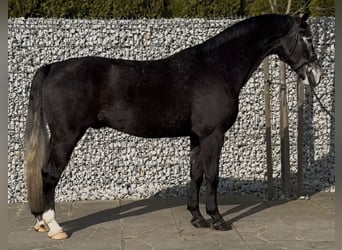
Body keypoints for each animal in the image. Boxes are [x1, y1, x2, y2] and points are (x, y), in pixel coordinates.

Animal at [26, 14, 320, 240]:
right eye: (307, 38)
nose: (315, 75)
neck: (217, 67)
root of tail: (53, 67)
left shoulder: (197, 137)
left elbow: (196, 174)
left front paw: (197, 217)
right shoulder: (213, 136)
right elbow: (212, 176)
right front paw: (217, 218)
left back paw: (41, 222)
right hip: (66, 137)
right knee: (50, 174)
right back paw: (54, 226)